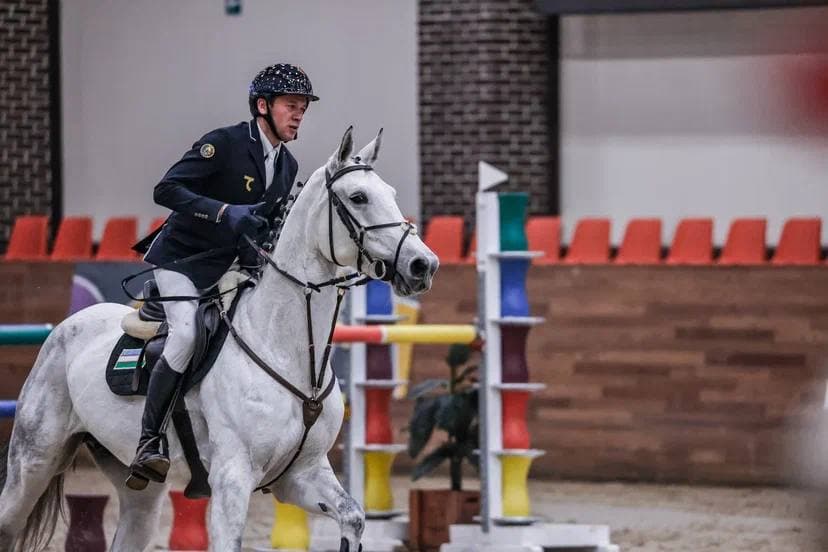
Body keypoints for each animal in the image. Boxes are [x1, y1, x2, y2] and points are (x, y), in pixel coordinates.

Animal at [0, 126, 439, 552]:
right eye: (358, 197)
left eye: (392, 195)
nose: (424, 265)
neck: (287, 350)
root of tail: (66, 327)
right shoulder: (233, 477)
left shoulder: (301, 475)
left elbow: (353, 517)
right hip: (32, 462)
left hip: (138, 491)